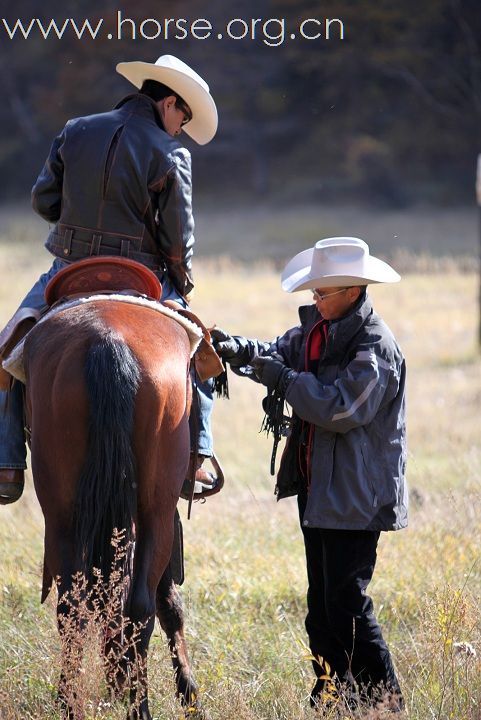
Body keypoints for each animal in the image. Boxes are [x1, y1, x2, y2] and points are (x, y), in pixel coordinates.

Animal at [23, 294, 202, 720]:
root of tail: (108, 341)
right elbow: (169, 600)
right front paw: (188, 692)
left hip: (63, 518)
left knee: (76, 611)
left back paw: (75, 703)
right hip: (154, 512)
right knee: (136, 608)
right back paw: (138, 705)